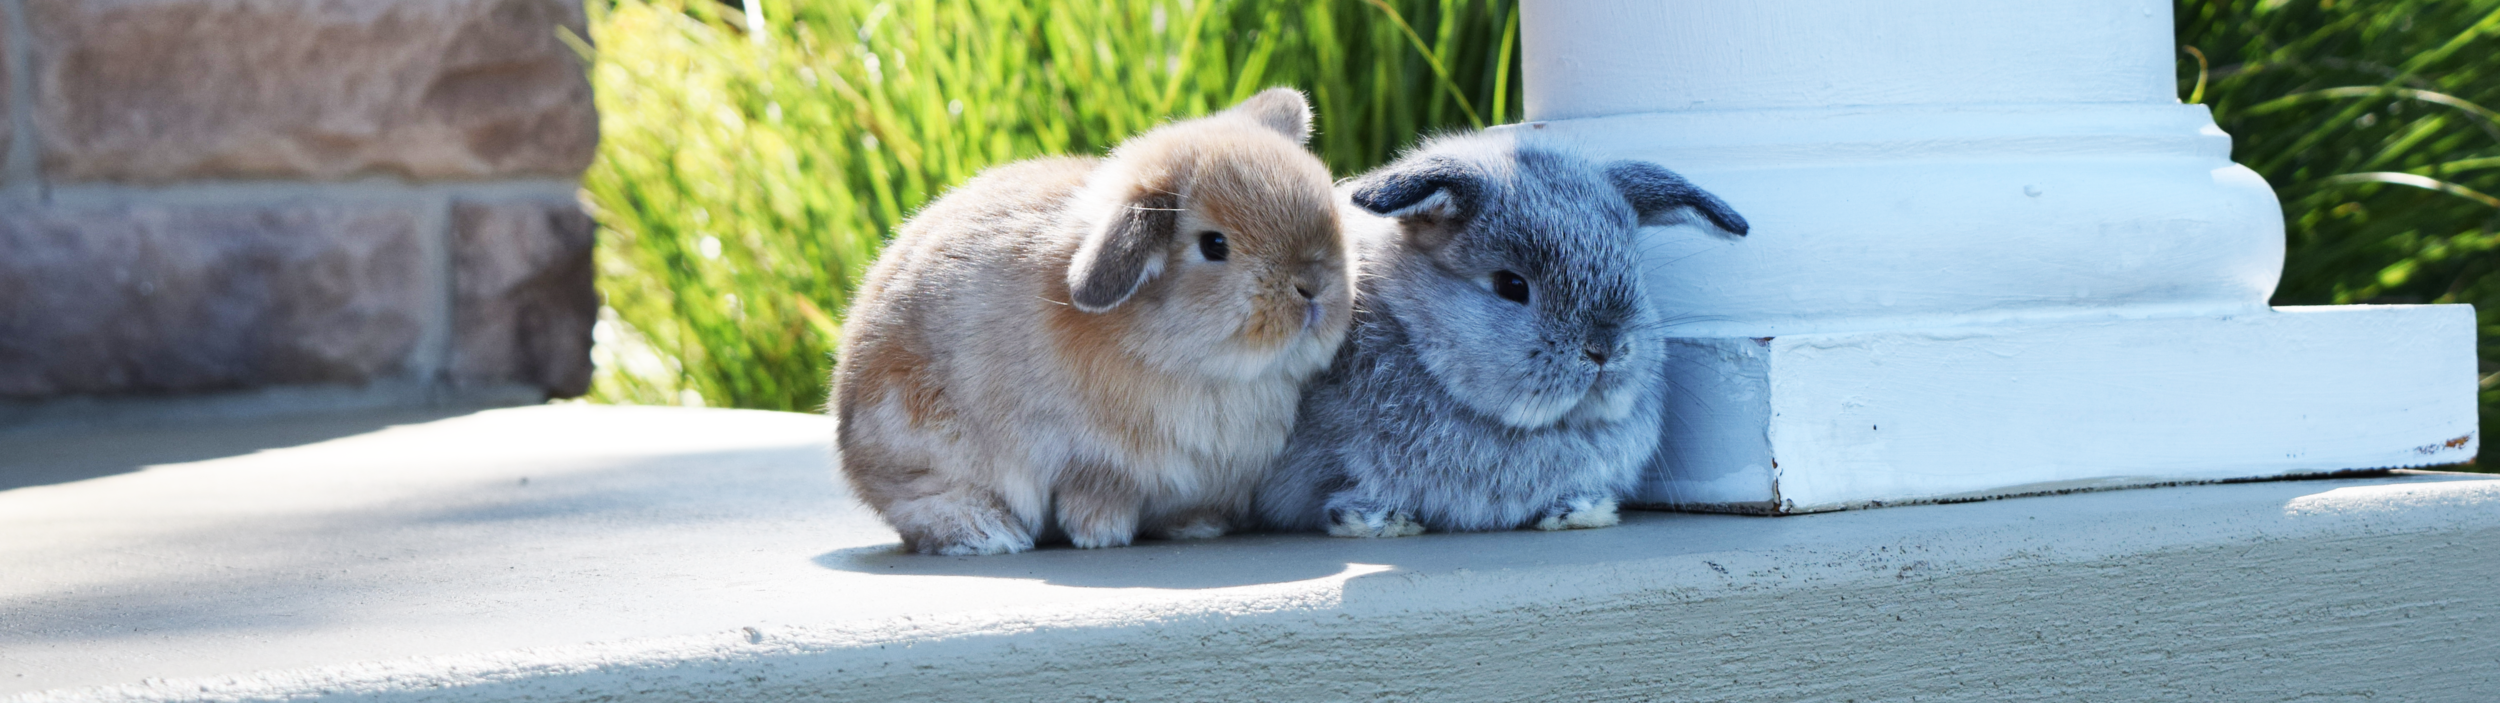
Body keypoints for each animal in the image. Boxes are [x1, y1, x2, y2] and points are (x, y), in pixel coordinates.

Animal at [834, 88, 1355, 555]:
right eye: (1214, 245)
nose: (1313, 287)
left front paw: (1196, 526)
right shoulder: (1088, 461)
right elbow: (1093, 494)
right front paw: (1101, 534)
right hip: (918, 439)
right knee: (919, 505)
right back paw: (987, 532)